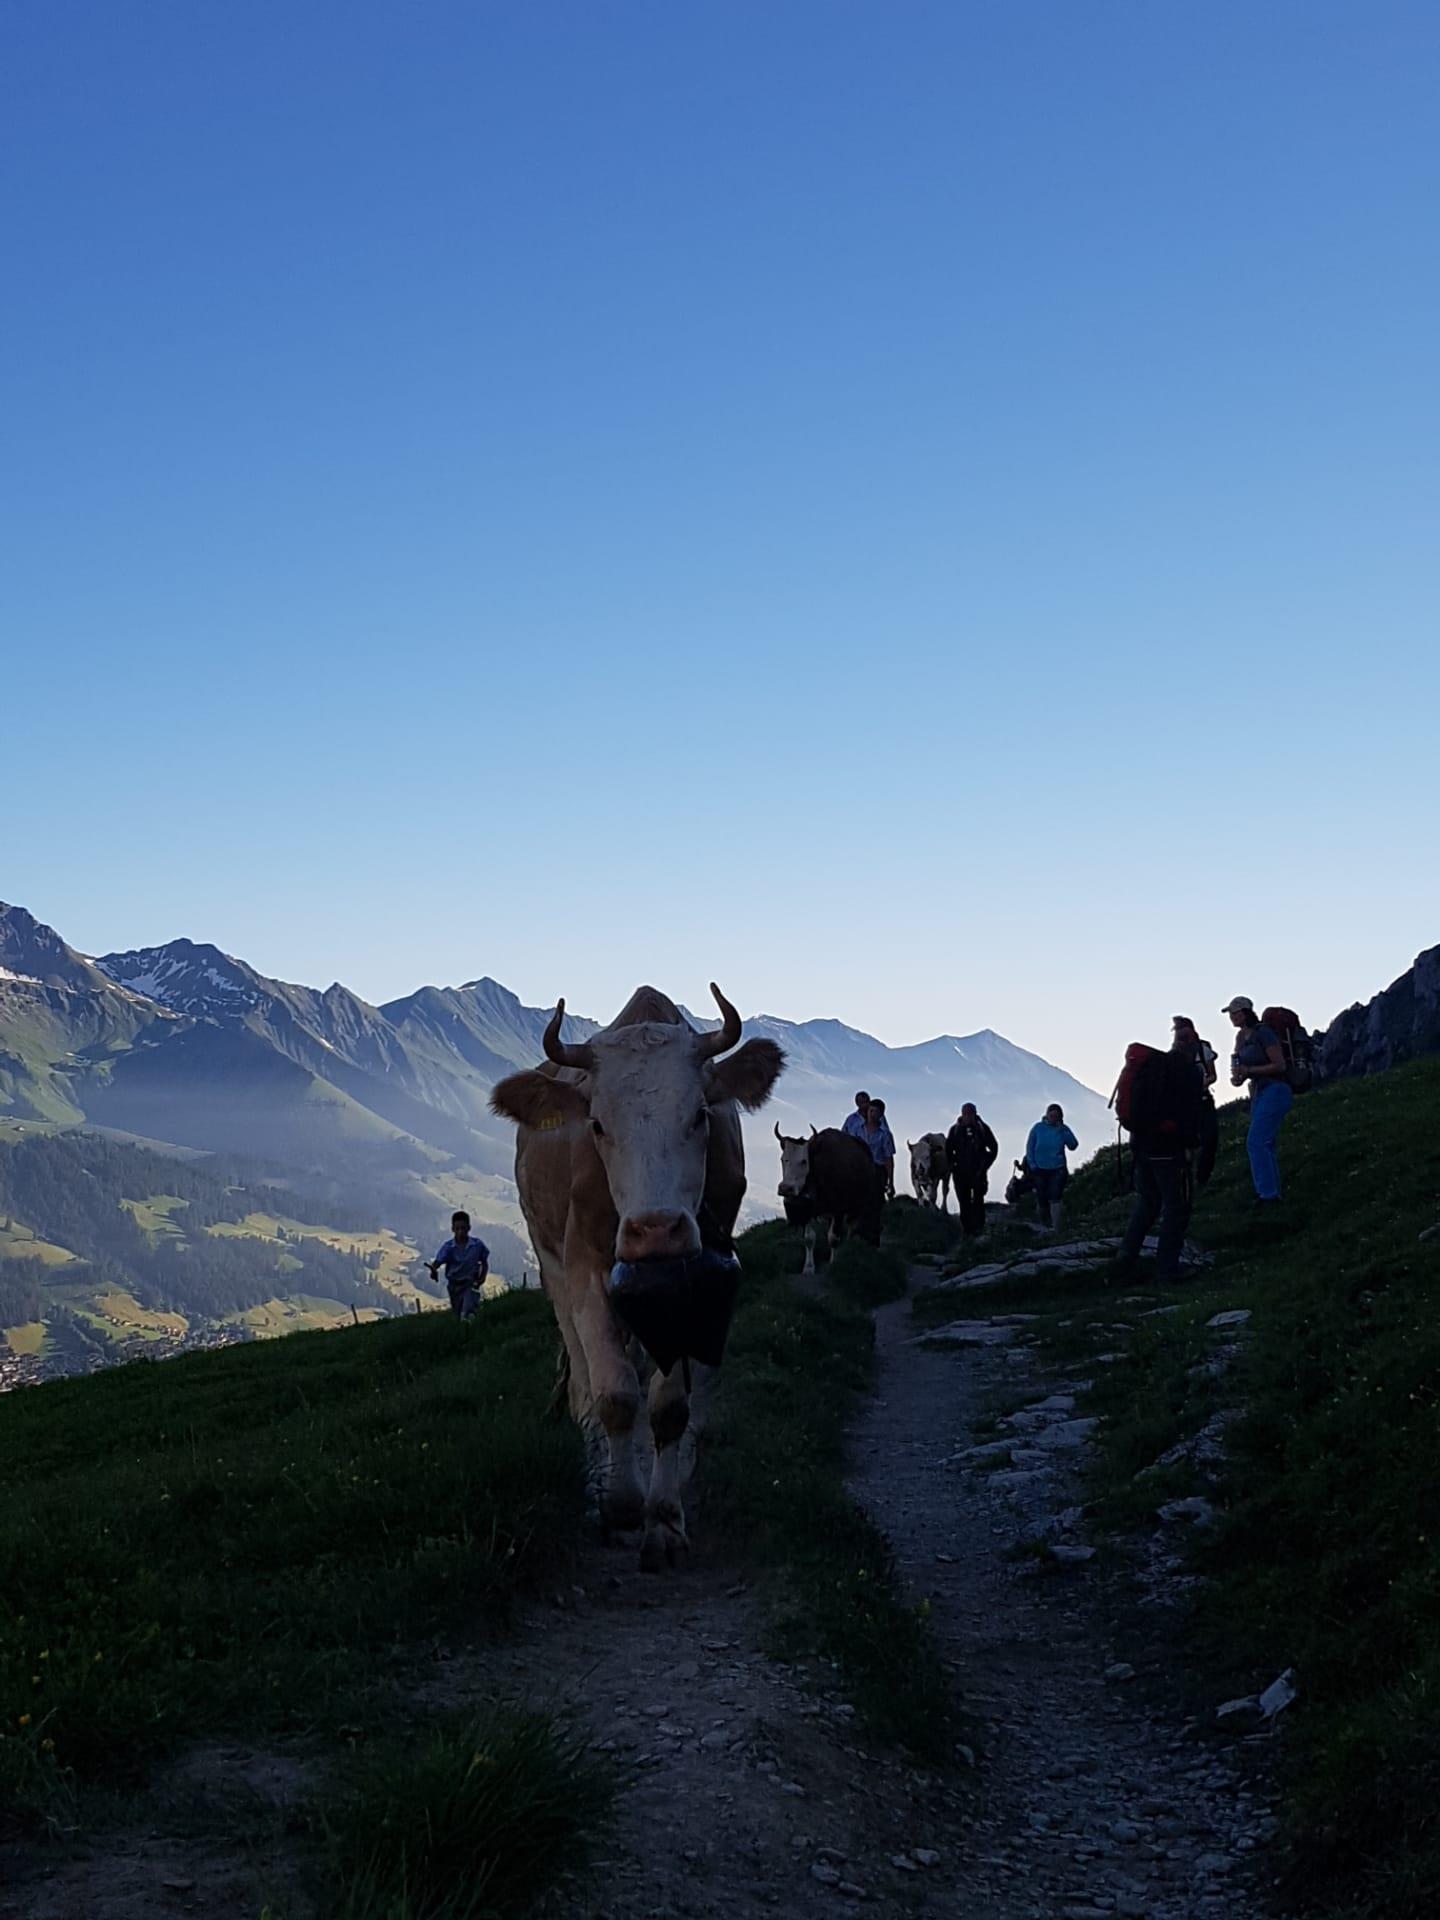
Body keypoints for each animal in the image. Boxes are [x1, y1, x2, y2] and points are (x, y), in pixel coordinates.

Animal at [490, 985, 784, 1571]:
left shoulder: (700, 1290)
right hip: (550, 1261)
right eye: (598, 1124)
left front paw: (664, 1521)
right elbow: (615, 1395)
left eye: (700, 1115)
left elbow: (668, 1407)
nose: (656, 1230)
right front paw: (621, 1504)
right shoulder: (583, 1270)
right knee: (583, 1382)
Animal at [774, 1124, 882, 1274]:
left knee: (854, 1225)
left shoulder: (839, 1210)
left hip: (859, 1204)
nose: (785, 1188)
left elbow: (833, 1237)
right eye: (783, 1159)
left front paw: (833, 1263)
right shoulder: (808, 1209)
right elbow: (809, 1239)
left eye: (804, 1161)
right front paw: (808, 1267)